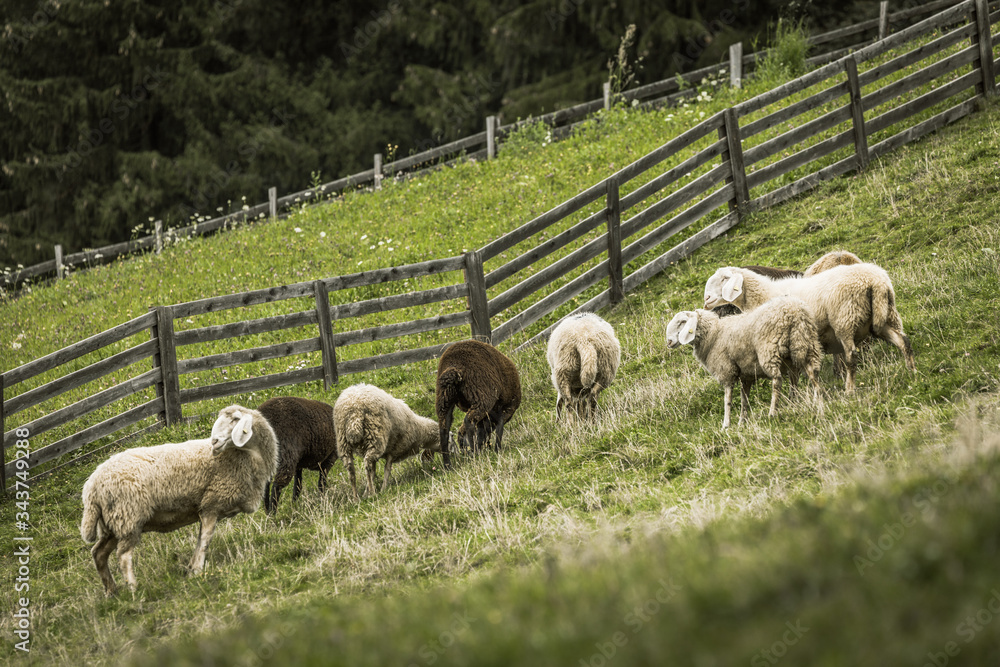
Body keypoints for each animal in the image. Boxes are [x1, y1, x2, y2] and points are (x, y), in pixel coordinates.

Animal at [80, 405, 278, 595]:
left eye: (236, 419)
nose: (214, 442)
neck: (249, 456)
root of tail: (91, 486)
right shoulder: (211, 503)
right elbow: (205, 540)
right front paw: (197, 570)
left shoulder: (207, 507)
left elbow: (200, 539)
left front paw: (191, 569)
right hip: (129, 516)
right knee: (123, 556)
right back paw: (133, 589)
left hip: (113, 523)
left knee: (98, 553)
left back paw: (111, 591)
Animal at [666, 297, 823, 428]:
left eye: (682, 322)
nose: (669, 342)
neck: (714, 333)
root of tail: (795, 312)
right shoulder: (746, 374)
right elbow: (744, 399)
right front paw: (742, 422)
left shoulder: (726, 370)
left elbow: (728, 400)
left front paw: (726, 425)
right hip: (805, 344)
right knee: (809, 375)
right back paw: (811, 403)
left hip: (769, 351)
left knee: (777, 381)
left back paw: (772, 412)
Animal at [703, 262, 915, 392]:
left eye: (724, 279)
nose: (706, 299)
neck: (764, 295)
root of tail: (876, 281)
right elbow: (794, 374)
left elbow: (792, 374)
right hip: (885, 316)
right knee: (903, 340)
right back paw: (912, 372)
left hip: (845, 319)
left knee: (851, 356)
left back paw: (849, 389)